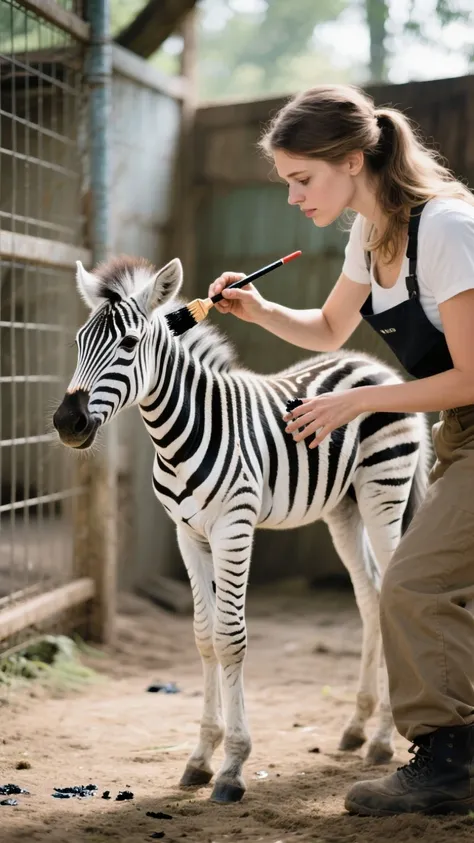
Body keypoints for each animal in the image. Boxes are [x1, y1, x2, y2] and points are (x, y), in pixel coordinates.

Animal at [53, 255, 430, 804]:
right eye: (79, 342)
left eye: (129, 344)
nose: (67, 423)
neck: (178, 435)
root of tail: (376, 366)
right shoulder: (187, 534)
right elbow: (203, 636)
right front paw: (199, 758)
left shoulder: (234, 526)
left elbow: (231, 637)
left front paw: (232, 766)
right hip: (344, 507)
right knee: (369, 597)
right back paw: (358, 729)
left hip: (385, 491)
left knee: (387, 595)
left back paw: (382, 739)